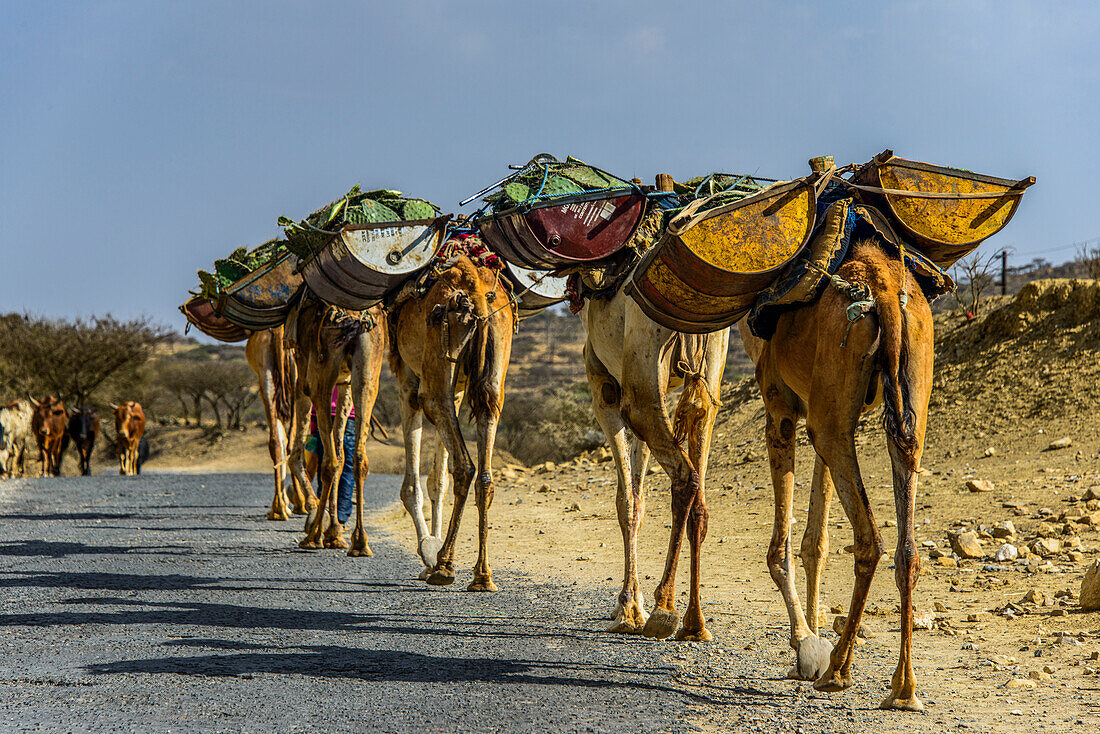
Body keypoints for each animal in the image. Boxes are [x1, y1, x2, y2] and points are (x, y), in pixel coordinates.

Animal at [283, 297, 387, 556]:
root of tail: (355, 318)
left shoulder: (303, 378)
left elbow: (297, 453)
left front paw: (316, 516)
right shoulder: (346, 382)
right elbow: (341, 454)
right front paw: (335, 532)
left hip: (322, 371)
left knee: (328, 462)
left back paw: (312, 537)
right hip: (369, 367)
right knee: (358, 457)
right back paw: (359, 542)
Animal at [391, 253, 514, 589]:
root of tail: (475, 290)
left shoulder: (408, 378)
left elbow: (414, 484)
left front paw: (427, 552)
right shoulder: (458, 386)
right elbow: (437, 477)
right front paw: (430, 549)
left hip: (440, 349)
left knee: (462, 462)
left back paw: (444, 565)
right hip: (495, 356)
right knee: (484, 470)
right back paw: (482, 575)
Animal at [580, 290, 726, 638]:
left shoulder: (602, 382)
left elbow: (627, 502)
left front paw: (629, 609)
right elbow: (638, 499)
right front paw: (630, 607)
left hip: (642, 383)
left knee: (685, 476)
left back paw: (664, 609)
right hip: (708, 378)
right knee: (699, 501)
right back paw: (694, 623)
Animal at [739, 239, 937, 713]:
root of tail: (885, 293)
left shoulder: (781, 407)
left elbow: (782, 548)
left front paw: (805, 647)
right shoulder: (825, 406)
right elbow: (815, 541)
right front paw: (808, 643)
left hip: (829, 413)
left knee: (871, 540)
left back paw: (838, 671)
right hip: (907, 403)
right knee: (907, 550)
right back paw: (903, 689)